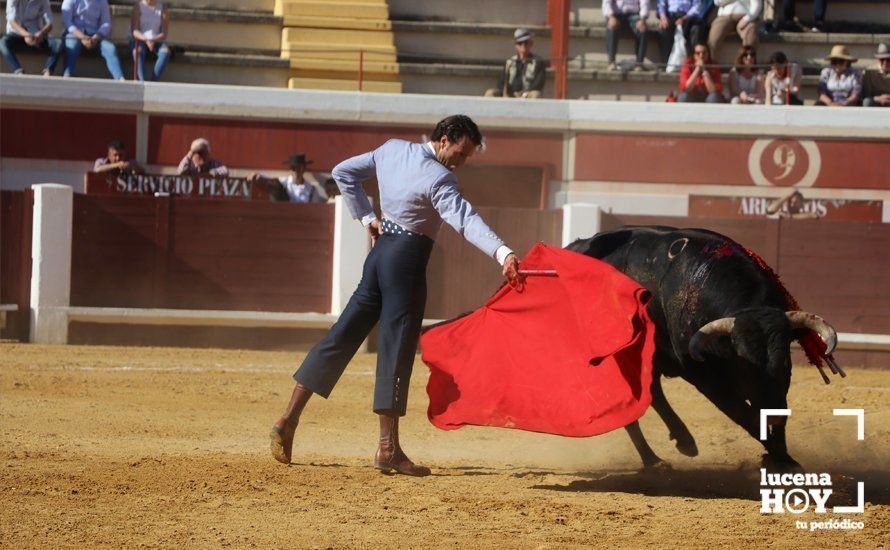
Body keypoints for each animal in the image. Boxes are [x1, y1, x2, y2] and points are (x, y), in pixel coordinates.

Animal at [564, 226, 836, 468]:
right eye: (745, 367)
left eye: (785, 363)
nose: (776, 413)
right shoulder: (702, 375)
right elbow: (744, 415)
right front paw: (781, 460)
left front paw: (783, 458)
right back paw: (654, 460)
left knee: (652, 390)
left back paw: (682, 443)